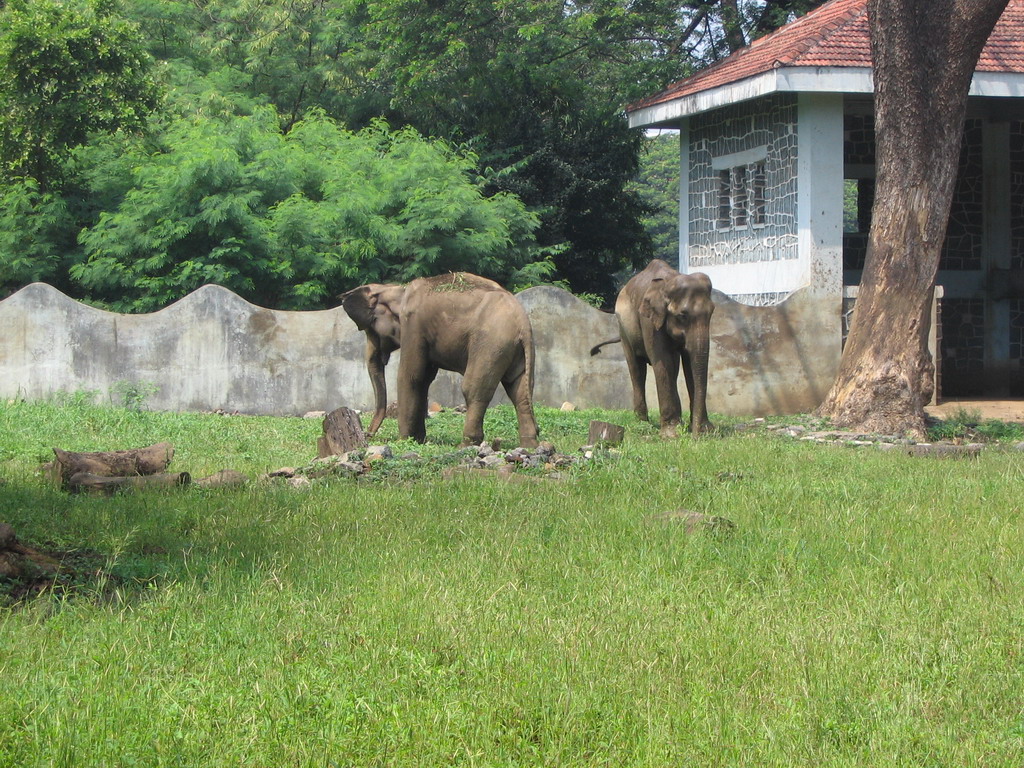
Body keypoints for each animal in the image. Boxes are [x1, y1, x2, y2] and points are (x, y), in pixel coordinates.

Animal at [339, 272, 540, 448]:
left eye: (370, 328)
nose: (367, 435)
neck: (396, 290)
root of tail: (523, 325)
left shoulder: (414, 325)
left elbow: (411, 376)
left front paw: (404, 441)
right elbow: (424, 379)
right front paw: (418, 440)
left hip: (490, 343)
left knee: (473, 389)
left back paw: (466, 445)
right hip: (512, 349)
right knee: (519, 390)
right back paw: (530, 445)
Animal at [593, 260, 712, 436]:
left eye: (712, 313)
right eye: (682, 315)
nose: (696, 435)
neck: (669, 281)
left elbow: (688, 364)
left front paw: (705, 431)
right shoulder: (649, 321)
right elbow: (663, 362)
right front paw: (671, 435)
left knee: (673, 368)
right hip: (624, 329)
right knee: (636, 369)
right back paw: (642, 423)